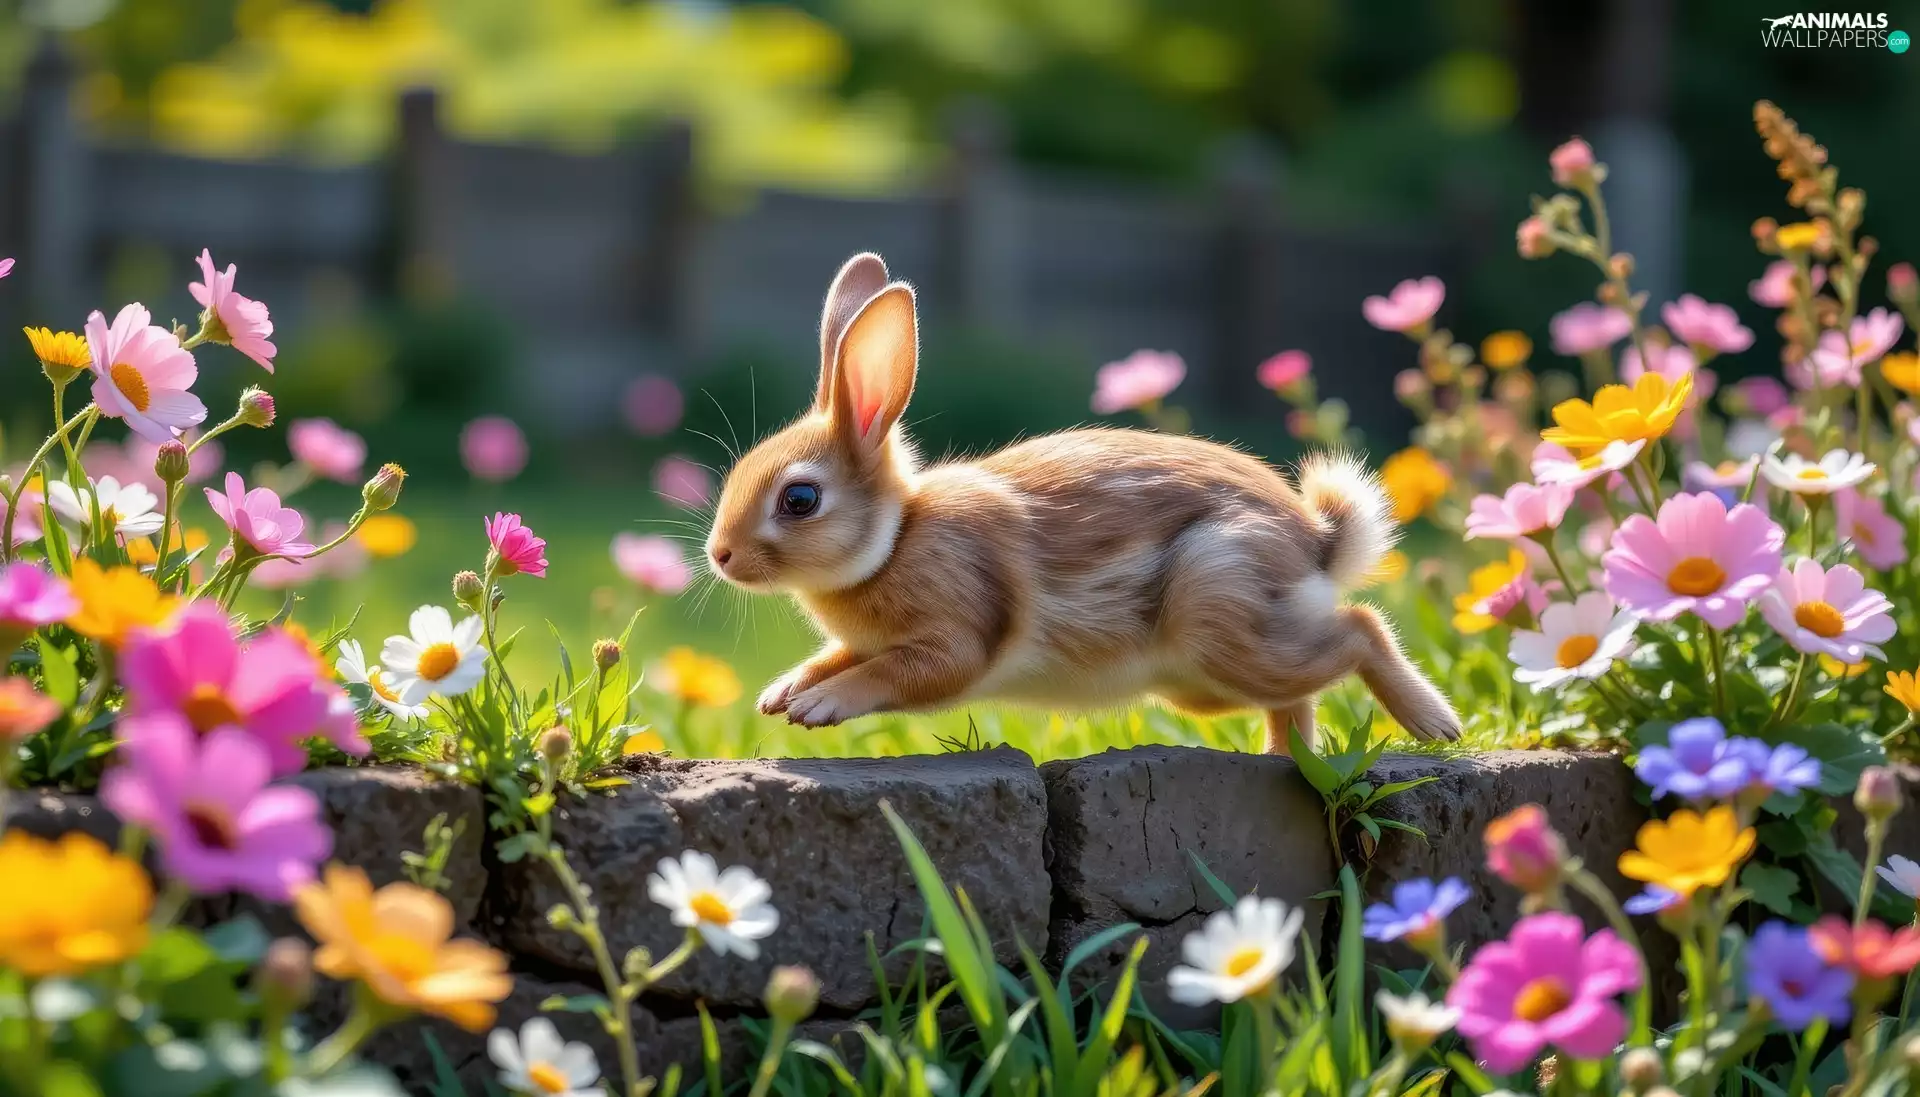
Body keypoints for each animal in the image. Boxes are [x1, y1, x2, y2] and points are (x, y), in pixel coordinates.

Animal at [701, 252, 1461, 753]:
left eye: (800, 498)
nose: (720, 555)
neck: (897, 538)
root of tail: (1316, 543)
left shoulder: (954, 630)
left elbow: (897, 671)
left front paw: (820, 706)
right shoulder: (859, 638)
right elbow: (836, 655)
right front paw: (783, 693)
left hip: (1219, 607)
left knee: (1359, 628)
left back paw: (1434, 723)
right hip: (1205, 678)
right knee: (1295, 694)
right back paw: (1288, 760)